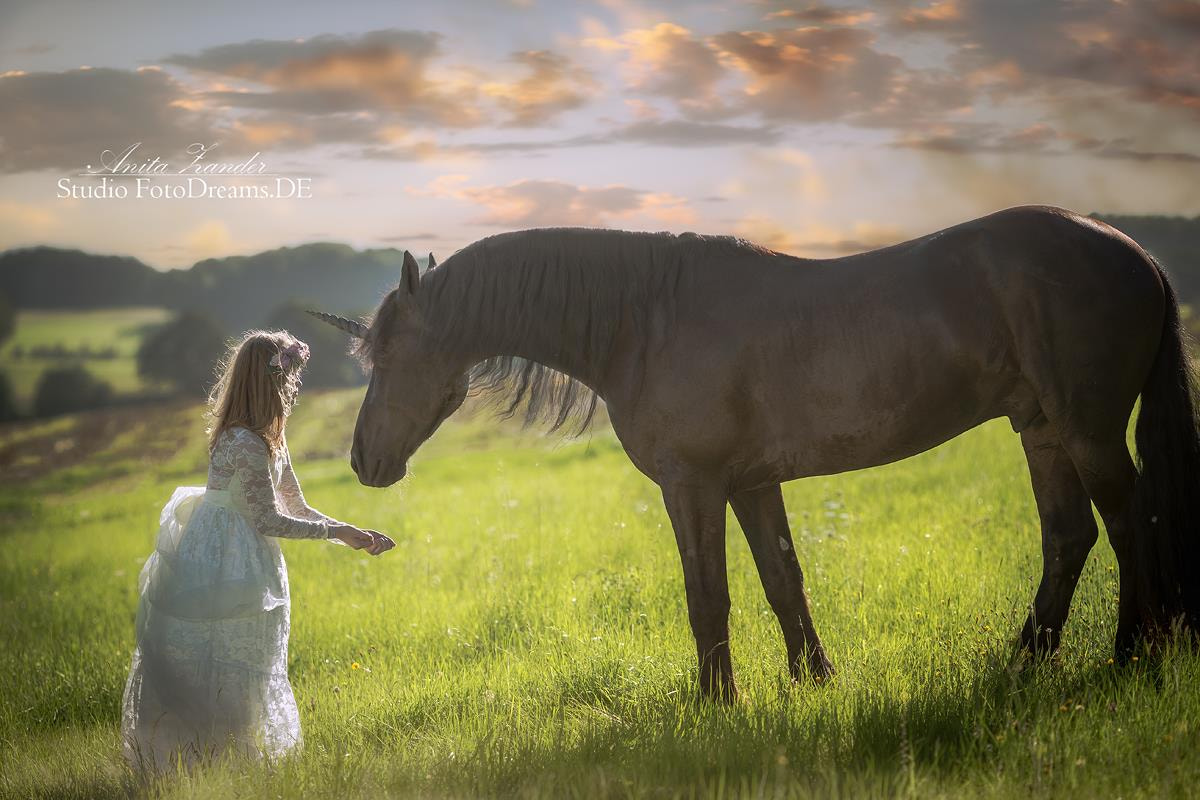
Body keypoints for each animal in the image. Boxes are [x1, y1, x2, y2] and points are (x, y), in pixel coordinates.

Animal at [312, 206, 1200, 700]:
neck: (645, 319)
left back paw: (1132, 655)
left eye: (386, 355)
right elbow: (782, 582)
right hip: (1040, 428)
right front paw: (815, 681)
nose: (362, 461)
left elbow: (709, 596)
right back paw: (1023, 663)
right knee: (1069, 537)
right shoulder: (751, 484)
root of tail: (1134, 253)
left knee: (1132, 524)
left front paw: (717, 702)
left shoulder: (694, 485)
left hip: (1087, 429)